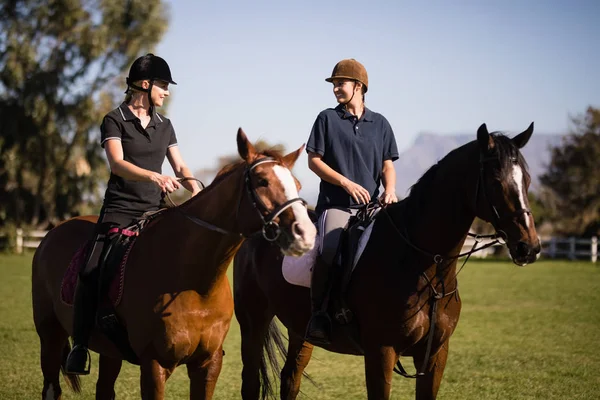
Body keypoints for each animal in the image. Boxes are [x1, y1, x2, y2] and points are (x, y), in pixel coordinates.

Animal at [32, 129, 316, 400]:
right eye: (262, 181)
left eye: (298, 184)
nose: (305, 233)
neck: (195, 283)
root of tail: (53, 231)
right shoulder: (154, 365)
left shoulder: (207, 364)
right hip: (50, 335)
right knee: (51, 388)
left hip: (109, 350)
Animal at [232, 123, 540, 398]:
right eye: (496, 182)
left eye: (527, 180)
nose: (529, 247)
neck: (422, 265)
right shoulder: (381, 352)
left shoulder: (436, 355)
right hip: (253, 321)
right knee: (251, 382)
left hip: (300, 329)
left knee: (290, 380)